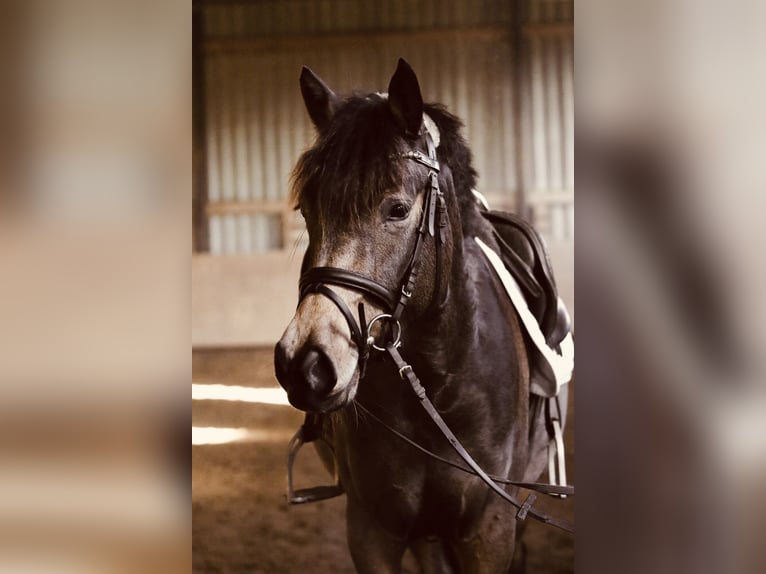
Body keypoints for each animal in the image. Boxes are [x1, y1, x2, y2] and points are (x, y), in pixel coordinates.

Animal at [272, 59, 568, 574]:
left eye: (397, 209)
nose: (304, 365)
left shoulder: (489, 529)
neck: (438, 384)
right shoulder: (372, 530)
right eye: (307, 211)